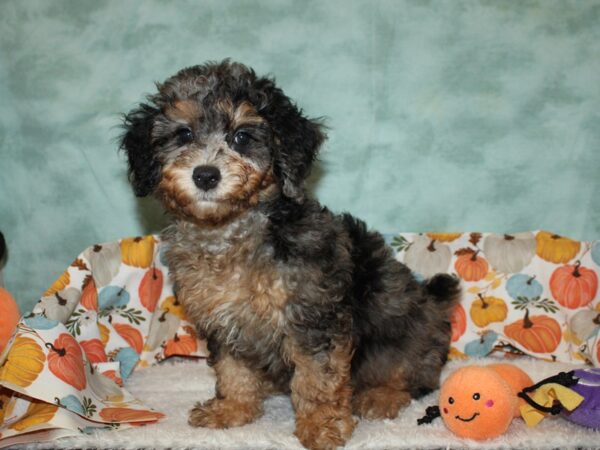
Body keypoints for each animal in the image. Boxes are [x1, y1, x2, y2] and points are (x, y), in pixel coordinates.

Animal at [120, 60, 460, 450]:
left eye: (241, 137)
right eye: (184, 134)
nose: (205, 175)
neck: (230, 230)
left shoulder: (313, 316)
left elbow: (317, 378)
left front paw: (321, 427)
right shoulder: (223, 320)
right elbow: (232, 369)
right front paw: (232, 410)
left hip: (407, 330)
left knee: (412, 375)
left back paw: (380, 396)